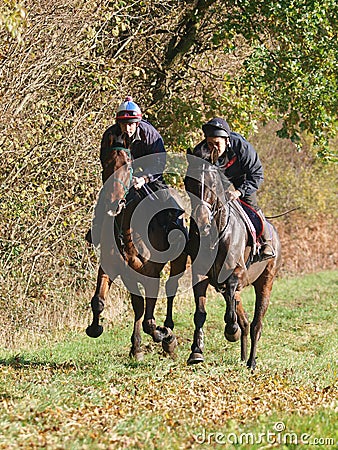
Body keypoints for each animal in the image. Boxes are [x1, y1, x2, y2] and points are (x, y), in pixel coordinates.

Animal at [86, 149, 187, 360]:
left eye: (127, 167)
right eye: (106, 165)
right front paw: (95, 329)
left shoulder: (151, 276)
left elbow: (149, 320)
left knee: (171, 287)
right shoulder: (115, 269)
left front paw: (165, 336)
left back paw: (168, 330)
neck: (127, 232)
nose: (113, 202)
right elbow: (100, 301)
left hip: (179, 260)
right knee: (139, 306)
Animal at [184, 148, 282, 370]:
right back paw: (243, 356)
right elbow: (200, 313)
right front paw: (196, 352)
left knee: (255, 324)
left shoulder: (236, 274)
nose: (201, 219)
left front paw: (231, 330)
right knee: (244, 320)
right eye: (188, 182)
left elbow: (231, 303)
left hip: (266, 282)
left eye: (212, 183)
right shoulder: (200, 276)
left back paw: (251, 361)